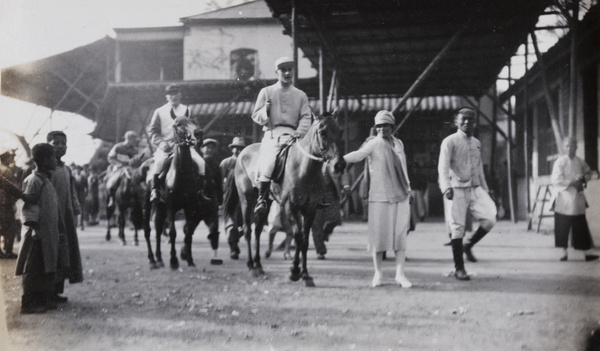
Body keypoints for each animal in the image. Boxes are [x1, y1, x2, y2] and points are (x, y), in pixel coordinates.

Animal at [144, 117, 206, 270]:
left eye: (193, 121)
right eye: (178, 124)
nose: (198, 134)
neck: (182, 173)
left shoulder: (191, 207)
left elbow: (188, 232)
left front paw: (189, 259)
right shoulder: (171, 207)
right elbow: (173, 233)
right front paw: (173, 261)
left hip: (160, 206)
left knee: (158, 229)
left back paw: (159, 259)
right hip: (147, 203)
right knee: (148, 230)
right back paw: (152, 260)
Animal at [225, 111, 346, 288]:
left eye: (340, 131)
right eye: (323, 132)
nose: (339, 165)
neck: (303, 168)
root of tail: (241, 154)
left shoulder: (310, 210)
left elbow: (304, 240)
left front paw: (305, 275)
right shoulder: (291, 207)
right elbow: (298, 236)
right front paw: (294, 272)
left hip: (267, 203)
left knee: (258, 230)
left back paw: (259, 266)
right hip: (246, 200)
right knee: (247, 230)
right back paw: (251, 267)